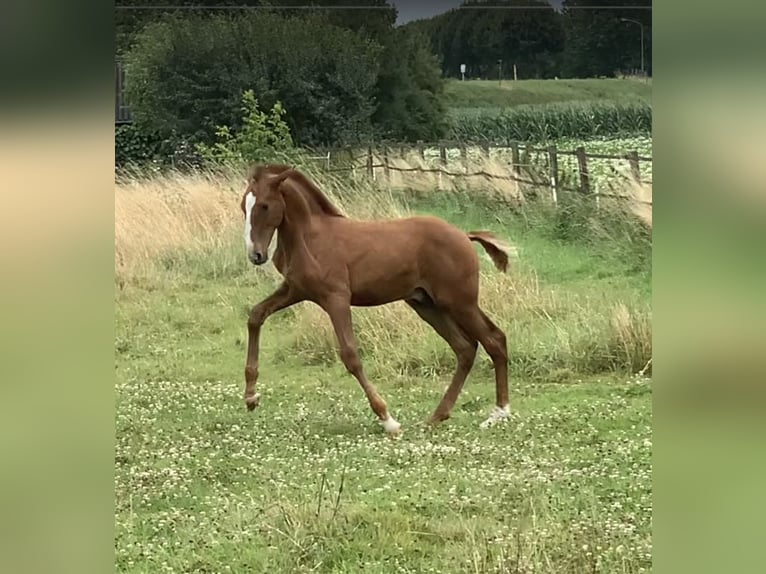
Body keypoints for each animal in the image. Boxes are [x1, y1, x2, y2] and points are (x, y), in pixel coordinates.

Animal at [240, 164, 512, 434]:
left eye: (264, 205)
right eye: (244, 206)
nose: (256, 255)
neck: (309, 238)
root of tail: (464, 236)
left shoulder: (336, 298)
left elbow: (350, 355)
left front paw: (388, 419)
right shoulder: (295, 290)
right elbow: (255, 316)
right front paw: (251, 397)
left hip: (459, 302)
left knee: (494, 340)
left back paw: (498, 413)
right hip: (428, 305)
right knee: (465, 348)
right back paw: (437, 415)